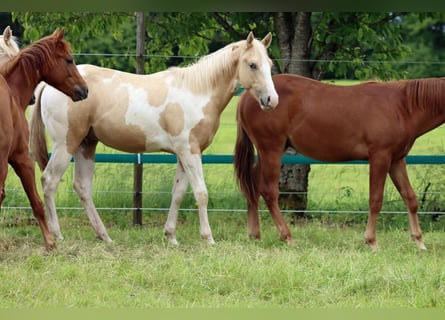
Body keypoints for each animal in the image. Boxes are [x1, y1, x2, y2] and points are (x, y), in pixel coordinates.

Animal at [30, 30, 278, 245]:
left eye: (270, 64)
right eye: (252, 64)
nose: (271, 100)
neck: (196, 92)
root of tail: (48, 85)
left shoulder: (183, 155)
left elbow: (178, 194)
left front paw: (171, 236)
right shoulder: (190, 152)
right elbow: (201, 193)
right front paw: (208, 238)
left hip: (86, 145)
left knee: (82, 187)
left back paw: (104, 236)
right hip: (66, 145)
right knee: (49, 181)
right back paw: (57, 234)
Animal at [232, 74, 444, 251]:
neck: (402, 106)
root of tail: (247, 97)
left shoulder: (396, 160)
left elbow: (410, 198)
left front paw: (419, 241)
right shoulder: (380, 157)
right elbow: (375, 200)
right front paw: (371, 241)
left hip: (266, 153)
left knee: (252, 186)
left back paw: (254, 235)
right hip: (272, 150)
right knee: (269, 191)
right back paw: (287, 237)